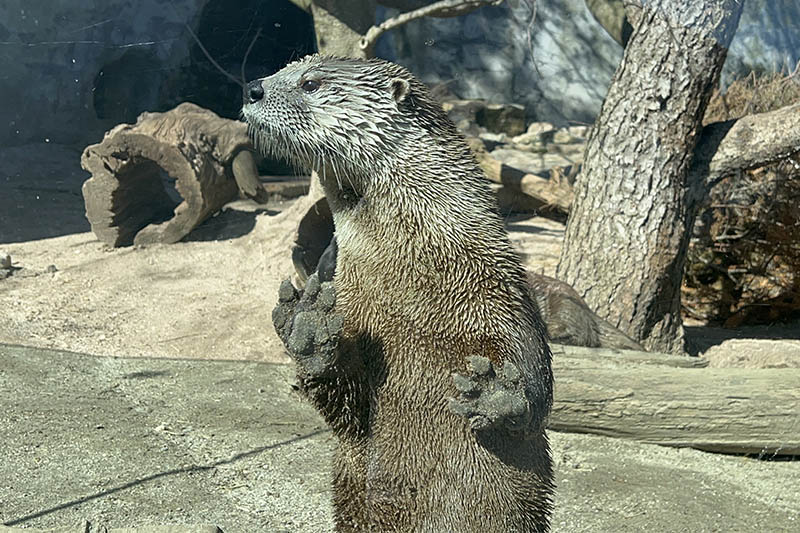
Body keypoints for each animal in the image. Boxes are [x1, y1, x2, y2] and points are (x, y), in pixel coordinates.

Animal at [243, 55, 554, 532]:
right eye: (283, 68)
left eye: (311, 82)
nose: (252, 88)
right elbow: (344, 406)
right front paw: (308, 330)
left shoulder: (506, 295)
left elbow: (537, 392)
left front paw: (497, 394)